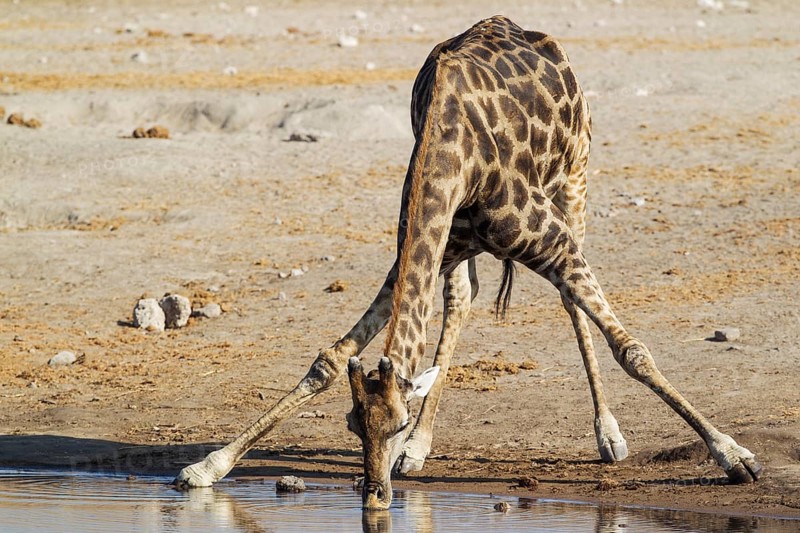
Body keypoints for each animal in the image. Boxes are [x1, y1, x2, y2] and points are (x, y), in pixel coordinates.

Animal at [174, 16, 762, 510]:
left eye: (393, 424)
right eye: (354, 427)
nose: (375, 497)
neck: (454, 152)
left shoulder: (551, 242)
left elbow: (631, 349)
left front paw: (734, 456)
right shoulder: (422, 248)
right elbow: (330, 359)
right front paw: (207, 467)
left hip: (575, 179)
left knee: (571, 305)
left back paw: (608, 435)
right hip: (463, 249)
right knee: (463, 300)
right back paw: (422, 449)